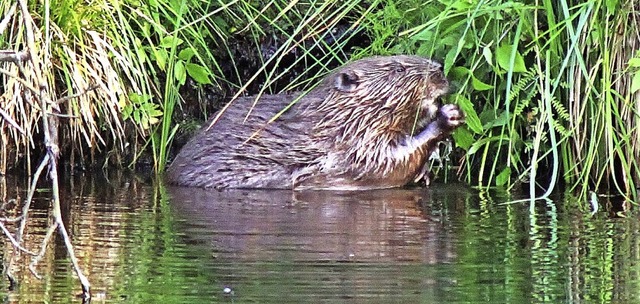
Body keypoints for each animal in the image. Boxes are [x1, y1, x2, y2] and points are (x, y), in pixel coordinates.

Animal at [168, 53, 462, 189]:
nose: (440, 69)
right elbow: (387, 164)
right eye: (399, 69)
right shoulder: (350, 147)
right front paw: (447, 116)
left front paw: (426, 174)